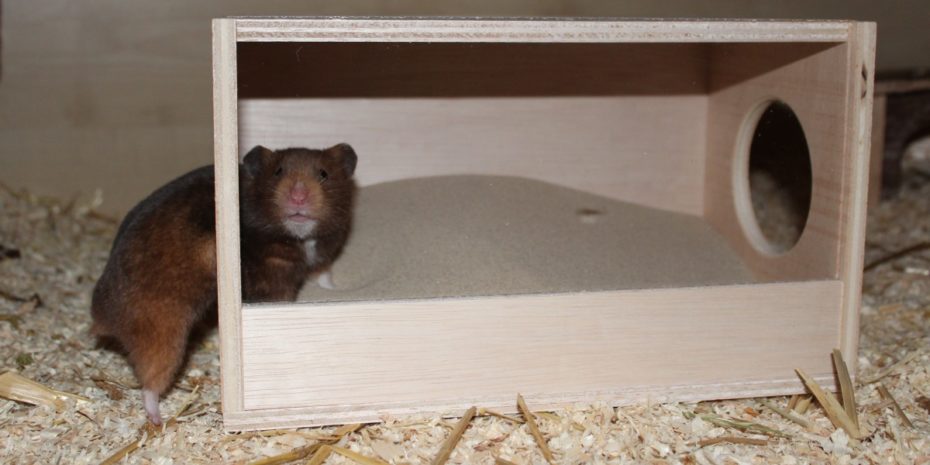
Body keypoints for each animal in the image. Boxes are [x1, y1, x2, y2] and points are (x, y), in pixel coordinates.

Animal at [91, 144, 357, 425]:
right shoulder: (272, 283)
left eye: (324, 174)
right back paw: (158, 419)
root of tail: (102, 318)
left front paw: (335, 289)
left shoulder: (322, 257)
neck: (299, 237)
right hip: (162, 333)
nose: (298, 197)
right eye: (278, 171)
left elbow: (324, 277)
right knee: (150, 381)